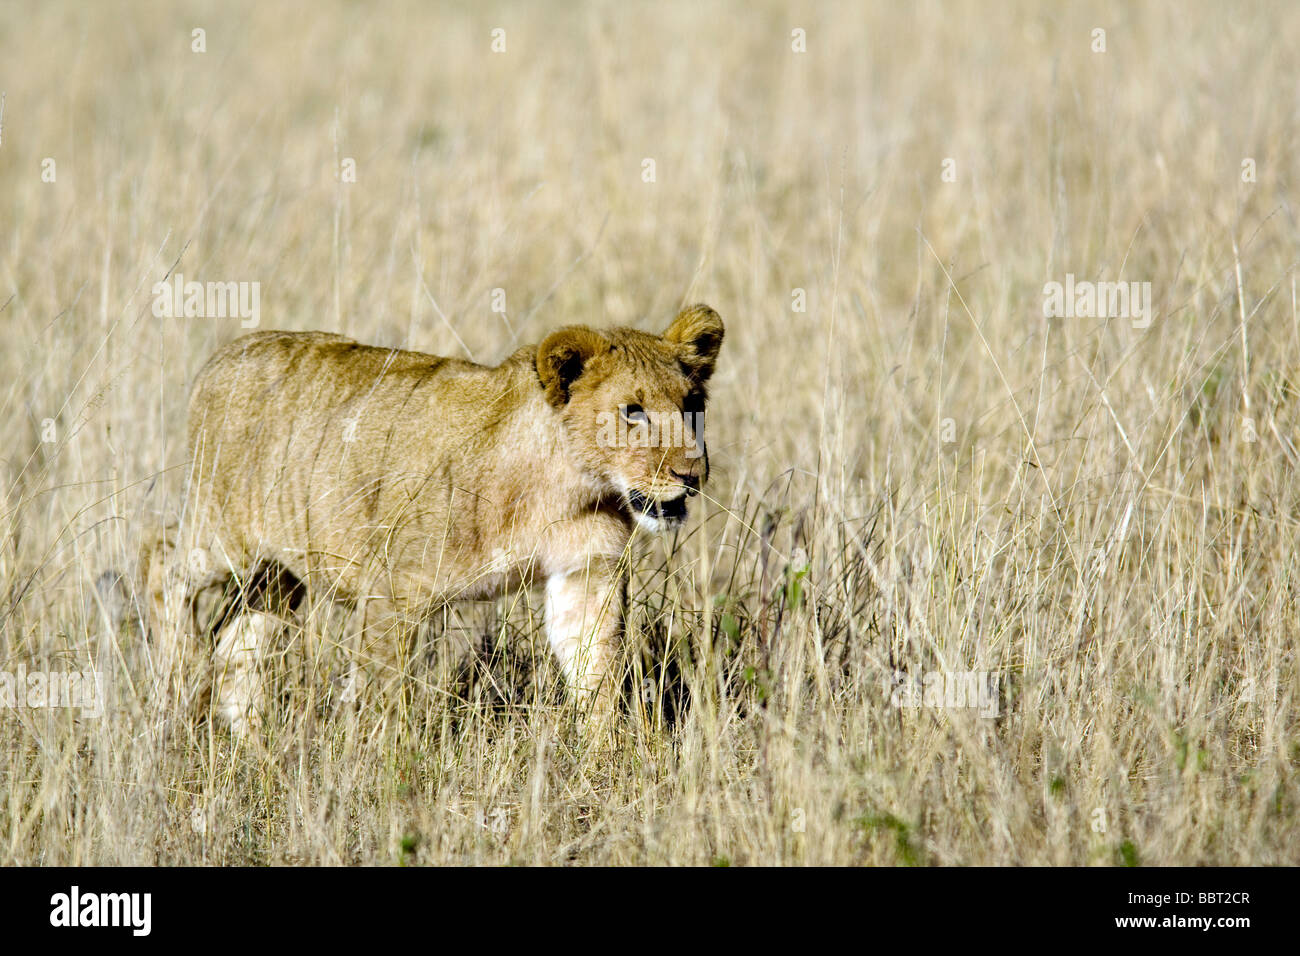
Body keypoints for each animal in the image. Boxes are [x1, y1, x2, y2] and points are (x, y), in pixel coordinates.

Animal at [149, 304, 733, 733]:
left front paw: (605, 758)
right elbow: (381, 692)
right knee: (158, 559)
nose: (692, 474)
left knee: (239, 638)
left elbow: (597, 673)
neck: (563, 486)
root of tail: (224, 355)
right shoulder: (392, 586)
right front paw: (381, 772)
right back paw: (176, 675)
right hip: (224, 537)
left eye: (692, 405)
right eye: (632, 412)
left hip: (279, 571)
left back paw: (246, 735)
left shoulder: (585, 572)